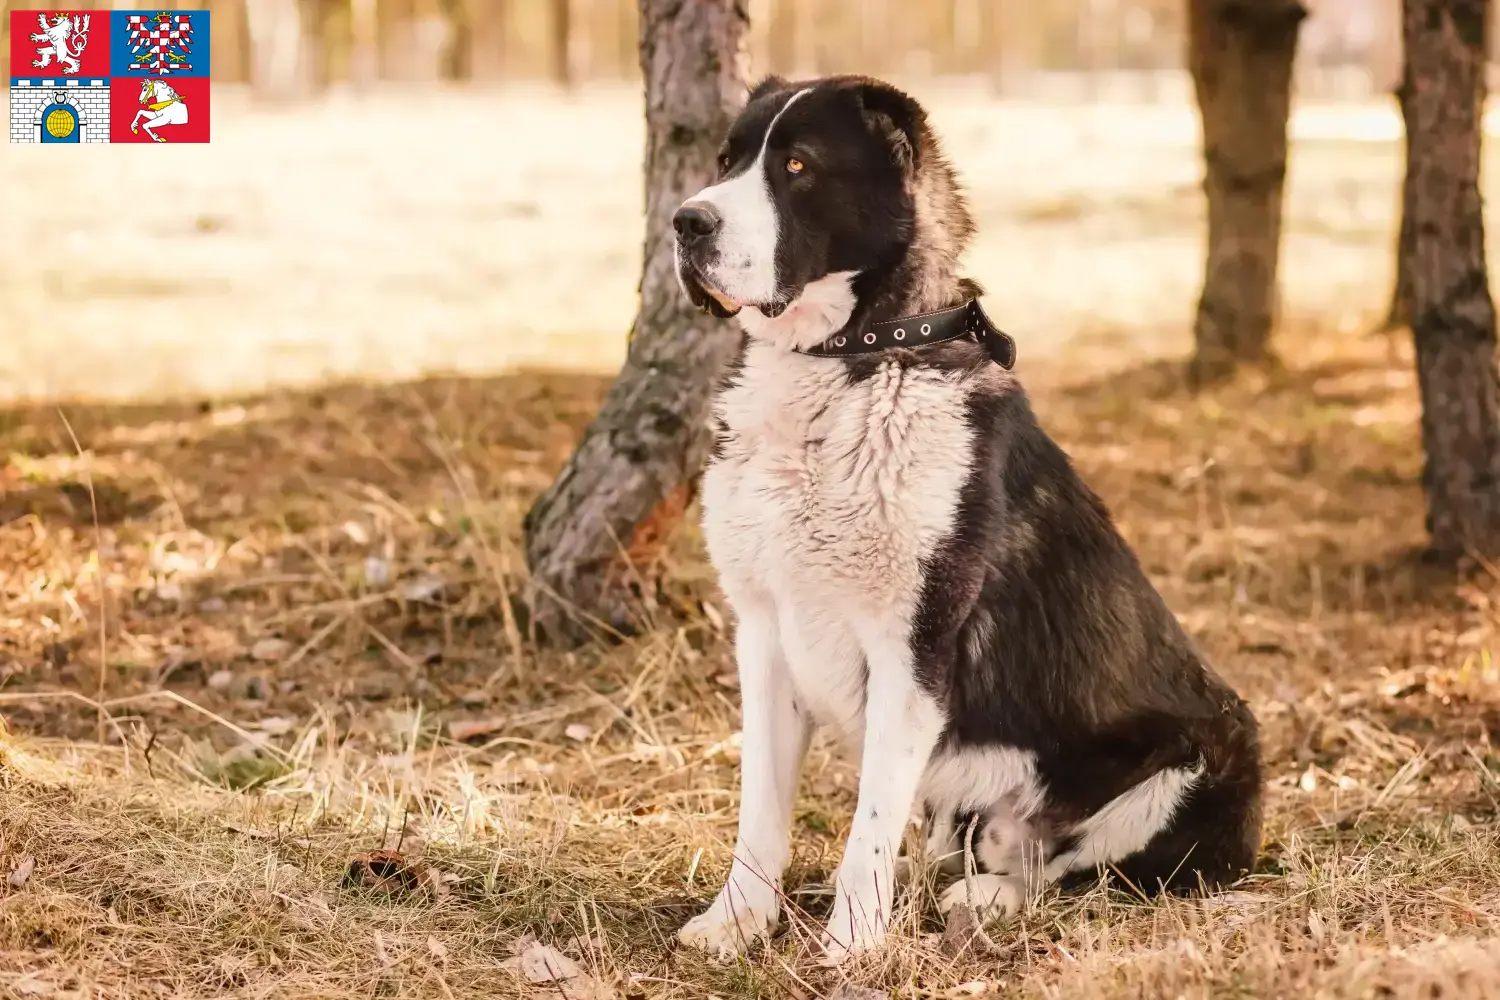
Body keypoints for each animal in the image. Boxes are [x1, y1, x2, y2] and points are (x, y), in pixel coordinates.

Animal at [675, 74, 1260, 965]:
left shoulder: (913, 645)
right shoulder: (764, 632)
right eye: (727, 161)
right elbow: (760, 811)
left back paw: (987, 900)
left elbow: (868, 826)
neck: (850, 359)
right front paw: (737, 921)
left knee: (1085, 875)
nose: (685, 223)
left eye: (798, 166)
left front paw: (852, 945)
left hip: (1208, 756)